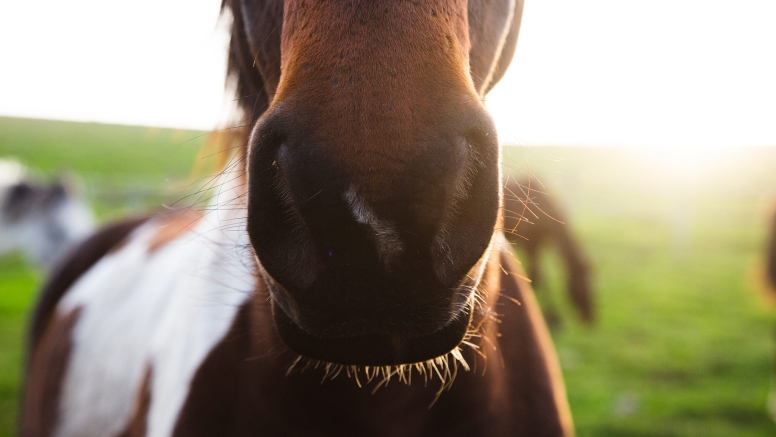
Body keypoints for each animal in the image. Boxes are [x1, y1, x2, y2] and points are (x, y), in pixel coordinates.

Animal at [504, 179, 596, 326]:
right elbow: (537, 278)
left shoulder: (538, 245)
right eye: (584, 286)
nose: (590, 318)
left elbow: (540, 277)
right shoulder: (532, 246)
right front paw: (552, 316)